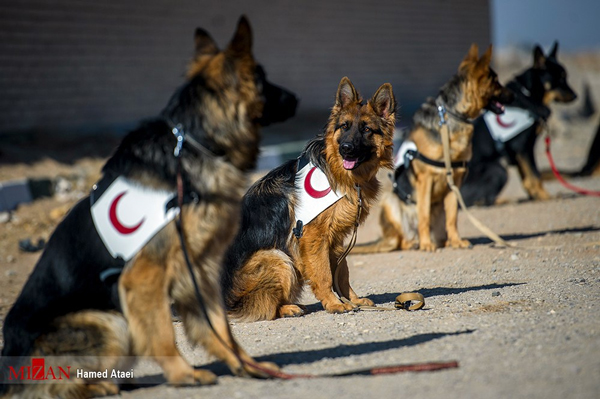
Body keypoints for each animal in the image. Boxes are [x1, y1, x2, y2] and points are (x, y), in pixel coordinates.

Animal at [0, 16, 298, 399]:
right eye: (262, 78)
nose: (297, 99)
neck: (194, 144)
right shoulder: (146, 275)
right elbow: (163, 332)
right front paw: (184, 374)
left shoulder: (199, 268)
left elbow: (219, 327)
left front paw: (245, 366)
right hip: (108, 318)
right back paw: (101, 386)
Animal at [219, 78, 394, 322]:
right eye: (345, 126)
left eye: (367, 129)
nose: (346, 149)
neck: (337, 170)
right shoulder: (314, 237)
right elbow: (324, 274)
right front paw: (334, 303)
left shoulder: (336, 239)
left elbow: (342, 273)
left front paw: (353, 300)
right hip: (276, 257)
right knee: (264, 308)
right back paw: (287, 308)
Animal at [354, 44, 512, 256]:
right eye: (495, 81)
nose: (514, 94)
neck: (449, 117)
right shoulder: (426, 179)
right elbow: (424, 215)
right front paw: (426, 244)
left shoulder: (455, 182)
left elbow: (453, 217)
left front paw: (457, 241)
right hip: (390, 202)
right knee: (402, 239)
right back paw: (416, 242)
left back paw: (444, 241)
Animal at [460, 41, 576, 206]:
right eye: (559, 79)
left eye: (565, 77)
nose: (575, 95)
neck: (528, 94)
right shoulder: (523, 148)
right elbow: (535, 176)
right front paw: (546, 197)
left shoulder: (520, 154)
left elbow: (527, 179)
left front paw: (535, 197)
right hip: (498, 168)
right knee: (482, 200)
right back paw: (507, 200)